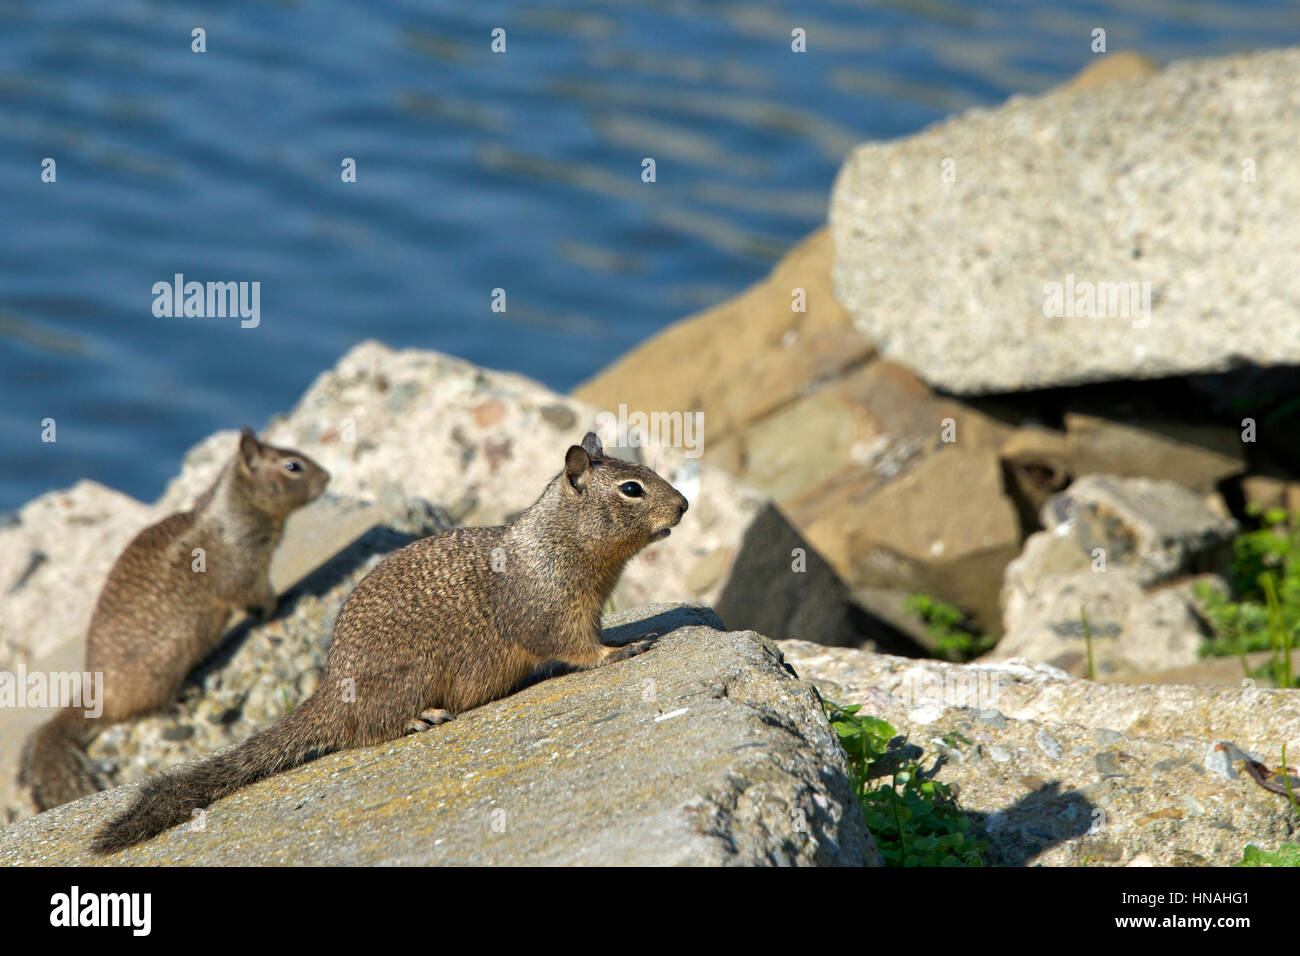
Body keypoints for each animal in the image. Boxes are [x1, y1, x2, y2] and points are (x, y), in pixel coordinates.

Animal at [20, 429, 327, 811]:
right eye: (293, 466)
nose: (328, 478)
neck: (232, 510)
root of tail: (97, 693)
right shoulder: (242, 571)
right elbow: (256, 597)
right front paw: (283, 600)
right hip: (166, 662)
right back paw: (179, 698)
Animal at [94, 434, 691, 853]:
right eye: (632, 488)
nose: (685, 505)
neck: (561, 541)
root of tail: (330, 690)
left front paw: (622, 636)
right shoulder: (555, 610)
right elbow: (578, 647)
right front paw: (622, 650)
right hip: (406, 679)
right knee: (365, 732)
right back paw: (418, 718)